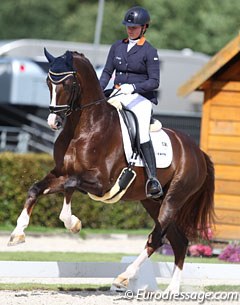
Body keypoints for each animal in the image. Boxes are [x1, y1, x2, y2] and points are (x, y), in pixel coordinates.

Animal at [7, 48, 215, 290]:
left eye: (68, 84)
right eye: (48, 82)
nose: (53, 122)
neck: (83, 128)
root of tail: (197, 151)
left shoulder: (101, 183)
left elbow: (70, 185)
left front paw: (73, 223)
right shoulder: (61, 173)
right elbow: (37, 188)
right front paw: (17, 234)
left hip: (173, 199)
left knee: (156, 239)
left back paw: (125, 276)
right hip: (153, 202)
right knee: (179, 241)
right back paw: (171, 289)